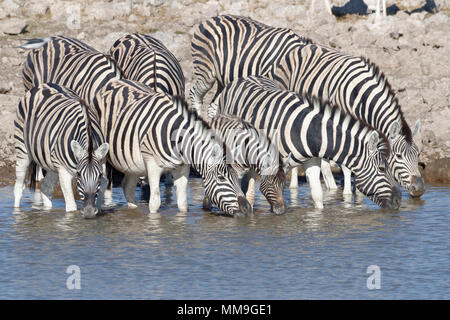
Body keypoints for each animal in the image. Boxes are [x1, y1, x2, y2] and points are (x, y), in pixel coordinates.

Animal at [14, 82, 110, 219]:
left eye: (100, 175)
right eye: (79, 174)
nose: (89, 212)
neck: (89, 145)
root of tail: (44, 84)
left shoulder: (102, 168)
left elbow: (100, 195)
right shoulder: (64, 172)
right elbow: (71, 207)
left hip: (51, 162)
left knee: (46, 187)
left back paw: (47, 212)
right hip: (22, 149)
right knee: (19, 187)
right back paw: (16, 213)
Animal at [93, 78, 253, 216]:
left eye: (236, 176)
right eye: (221, 178)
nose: (247, 209)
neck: (178, 140)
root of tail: (114, 81)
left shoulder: (182, 168)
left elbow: (183, 203)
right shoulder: (152, 166)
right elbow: (155, 202)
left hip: (133, 163)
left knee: (128, 187)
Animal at [209, 75, 402, 210]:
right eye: (382, 169)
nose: (399, 200)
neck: (307, 133)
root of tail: (243, 78)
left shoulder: (311, 161)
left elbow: (317, 194)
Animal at [270, 42, 426, 198]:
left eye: (418, 154)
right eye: (399, 156)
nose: (419, 189)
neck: (360, 97)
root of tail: (303, 47)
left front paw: (360, 193)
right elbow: (347, 165)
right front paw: (348, 196)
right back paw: (294, 186)